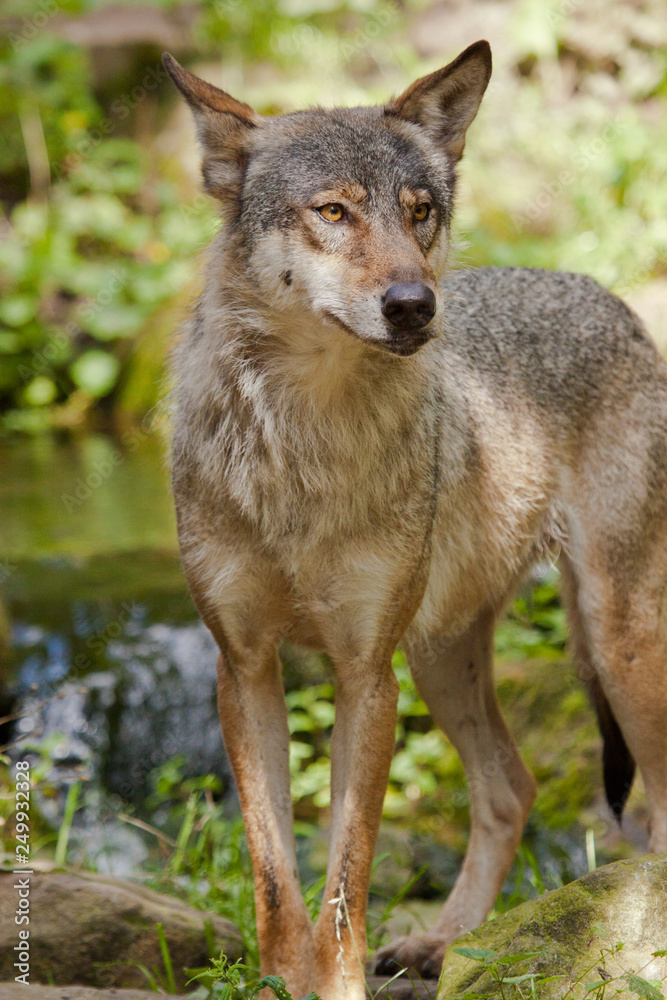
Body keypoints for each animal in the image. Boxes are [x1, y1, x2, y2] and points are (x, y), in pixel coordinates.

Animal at [163, 45, 667, 1000]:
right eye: (332, 211)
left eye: (419, 211)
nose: (412, 304)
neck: (304, 443)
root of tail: (608, 298)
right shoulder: (243, 667)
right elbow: (277, 878)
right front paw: (283, 981)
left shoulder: (366, 675)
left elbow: (345, 880)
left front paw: (336, 985)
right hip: (442, 654)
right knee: (511, 787)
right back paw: (446, 944)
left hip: (614, 640)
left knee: (648, 805)